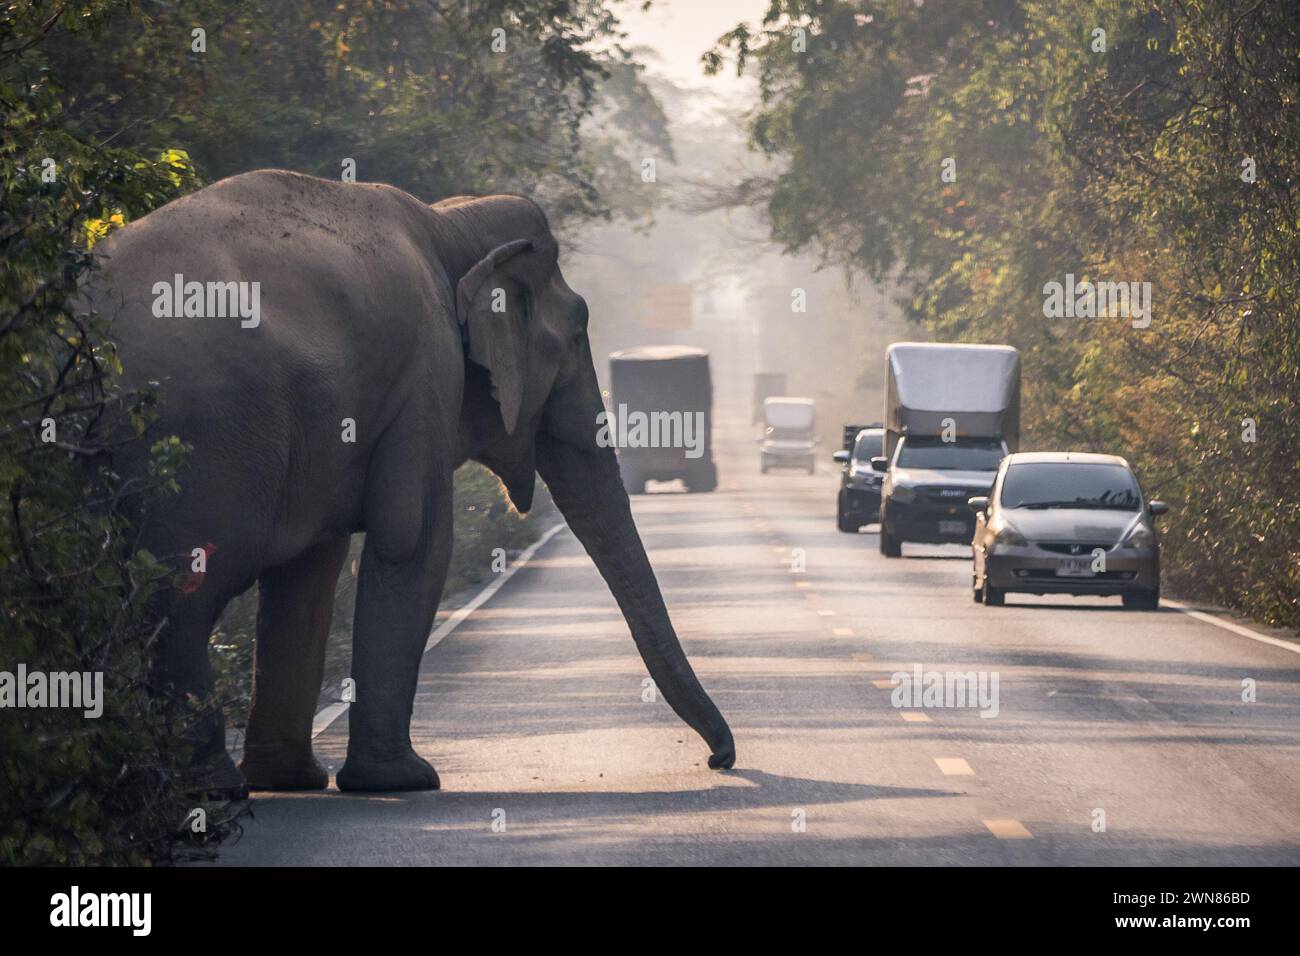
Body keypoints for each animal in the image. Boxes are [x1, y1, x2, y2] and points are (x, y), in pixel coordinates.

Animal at [86, 170, 738, 790]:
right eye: (577, 334)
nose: (720, 760)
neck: (450, 223)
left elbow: (311, 572)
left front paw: (292, 781)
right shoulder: (427, 373)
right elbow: (413, 542)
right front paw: (405, 780)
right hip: (201, 439)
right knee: (183, 601)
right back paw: (214, 789)